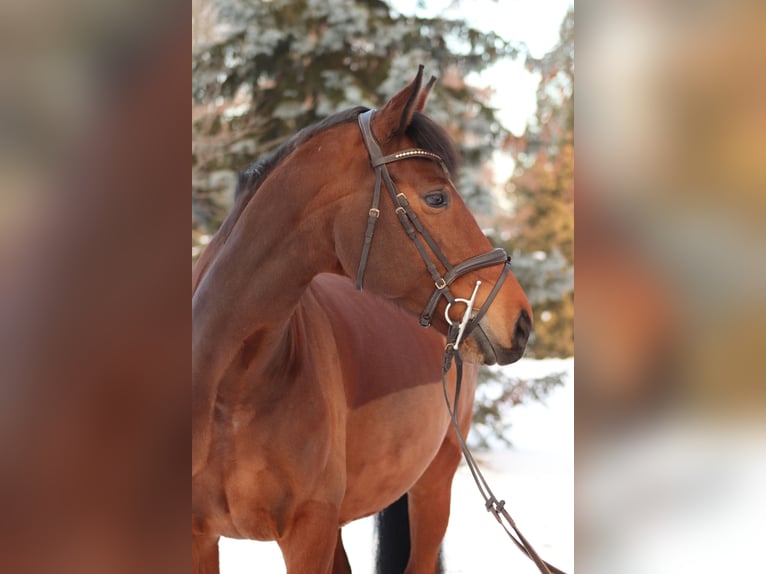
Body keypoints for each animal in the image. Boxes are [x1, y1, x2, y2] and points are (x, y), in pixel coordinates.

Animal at [192, 67, 533, 574]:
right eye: (436, 197)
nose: (522, 321)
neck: (232, 388)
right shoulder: (202, 537)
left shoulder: (308, 533)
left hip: (433, 486)